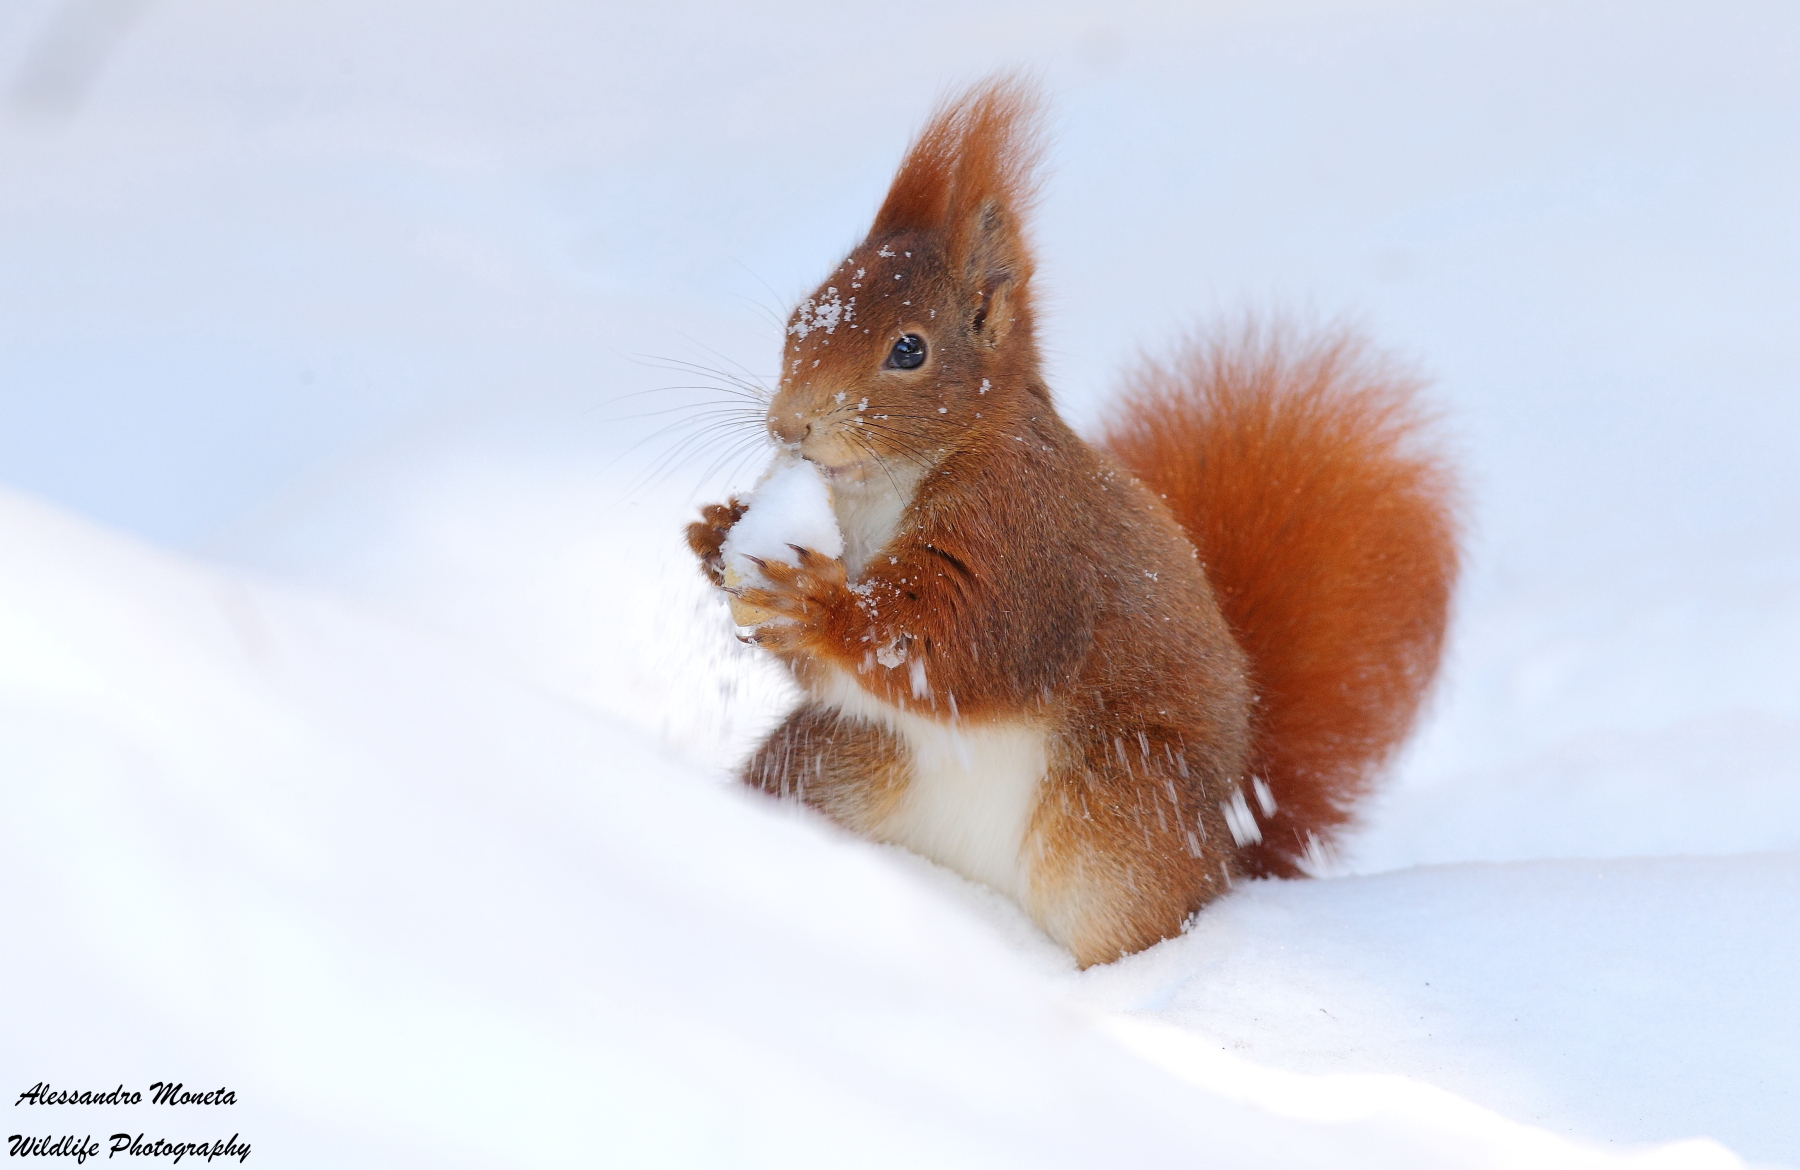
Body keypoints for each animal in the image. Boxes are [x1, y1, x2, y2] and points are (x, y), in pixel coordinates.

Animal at [686, 78, 1459, 968]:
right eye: (800, 316)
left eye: (909, 350)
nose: (788, 427)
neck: (887, 486)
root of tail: (1233, 851)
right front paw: (715, 534)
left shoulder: (1022, 530)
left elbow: (961, 644)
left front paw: (818, 602)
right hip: (835, 765)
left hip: (1117, 812)